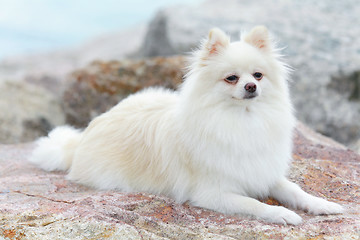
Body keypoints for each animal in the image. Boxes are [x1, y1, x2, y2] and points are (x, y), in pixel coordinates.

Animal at [29, 26, 342, 225]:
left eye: (258, 75)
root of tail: (83, 138)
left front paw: (323, 204)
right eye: (232, 78)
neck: (241, 119)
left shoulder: (262, 170)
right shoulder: (212, 192)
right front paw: (282, 214)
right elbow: (254, 203)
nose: (251, 87)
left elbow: (296, 190)